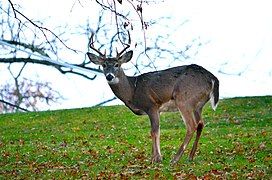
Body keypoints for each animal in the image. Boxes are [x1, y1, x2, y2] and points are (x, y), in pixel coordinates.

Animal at [87, 35, 219, 165]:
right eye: (104, 65)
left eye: (117, 65)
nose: (109, 76)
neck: (132, 91)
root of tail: (212, 78)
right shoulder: (157, 110)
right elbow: (155, 131)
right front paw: (153, 157)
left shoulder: (151, 105)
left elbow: (154, 131)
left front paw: (157, 158)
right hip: (198, 105)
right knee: (201, 123)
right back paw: (190, 157)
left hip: (184, 99)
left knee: (191, 125)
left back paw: (175, 159)